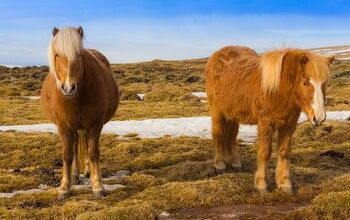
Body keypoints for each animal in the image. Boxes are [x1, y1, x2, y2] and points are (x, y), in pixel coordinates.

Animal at [40, 26, 119, 199]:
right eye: (57, 54)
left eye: (79, 55)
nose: (69, 88)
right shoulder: (64, 127)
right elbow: (67, 154)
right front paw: (64, 187)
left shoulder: (95, 125)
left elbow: (93, 152)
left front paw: (98, 186)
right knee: (75, 147)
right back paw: (75, 176)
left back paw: (87, 172)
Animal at [206, 45, 334, 193]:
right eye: (305, 82)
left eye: (325, 83)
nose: (319, 117)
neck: (278, 90)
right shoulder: (265, 124)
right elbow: (264, 153)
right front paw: (261, 185)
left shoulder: (288, 125)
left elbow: (284, 152)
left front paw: (285, 184)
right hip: (217, 112)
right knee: (219, 136)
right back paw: (220, 165)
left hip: (233, 115)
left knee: (231, 137)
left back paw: (236, 163)